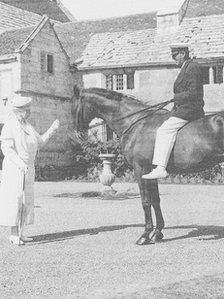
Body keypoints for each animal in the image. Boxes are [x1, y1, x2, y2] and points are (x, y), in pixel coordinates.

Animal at [71, 86, 224, 246]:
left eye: (74, 107)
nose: (78, 135)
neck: (135, 123)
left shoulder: (140, 169)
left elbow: (145, 201)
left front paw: (145, 235)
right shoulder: (150, 171)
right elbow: (155, 200)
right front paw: (157, 233)